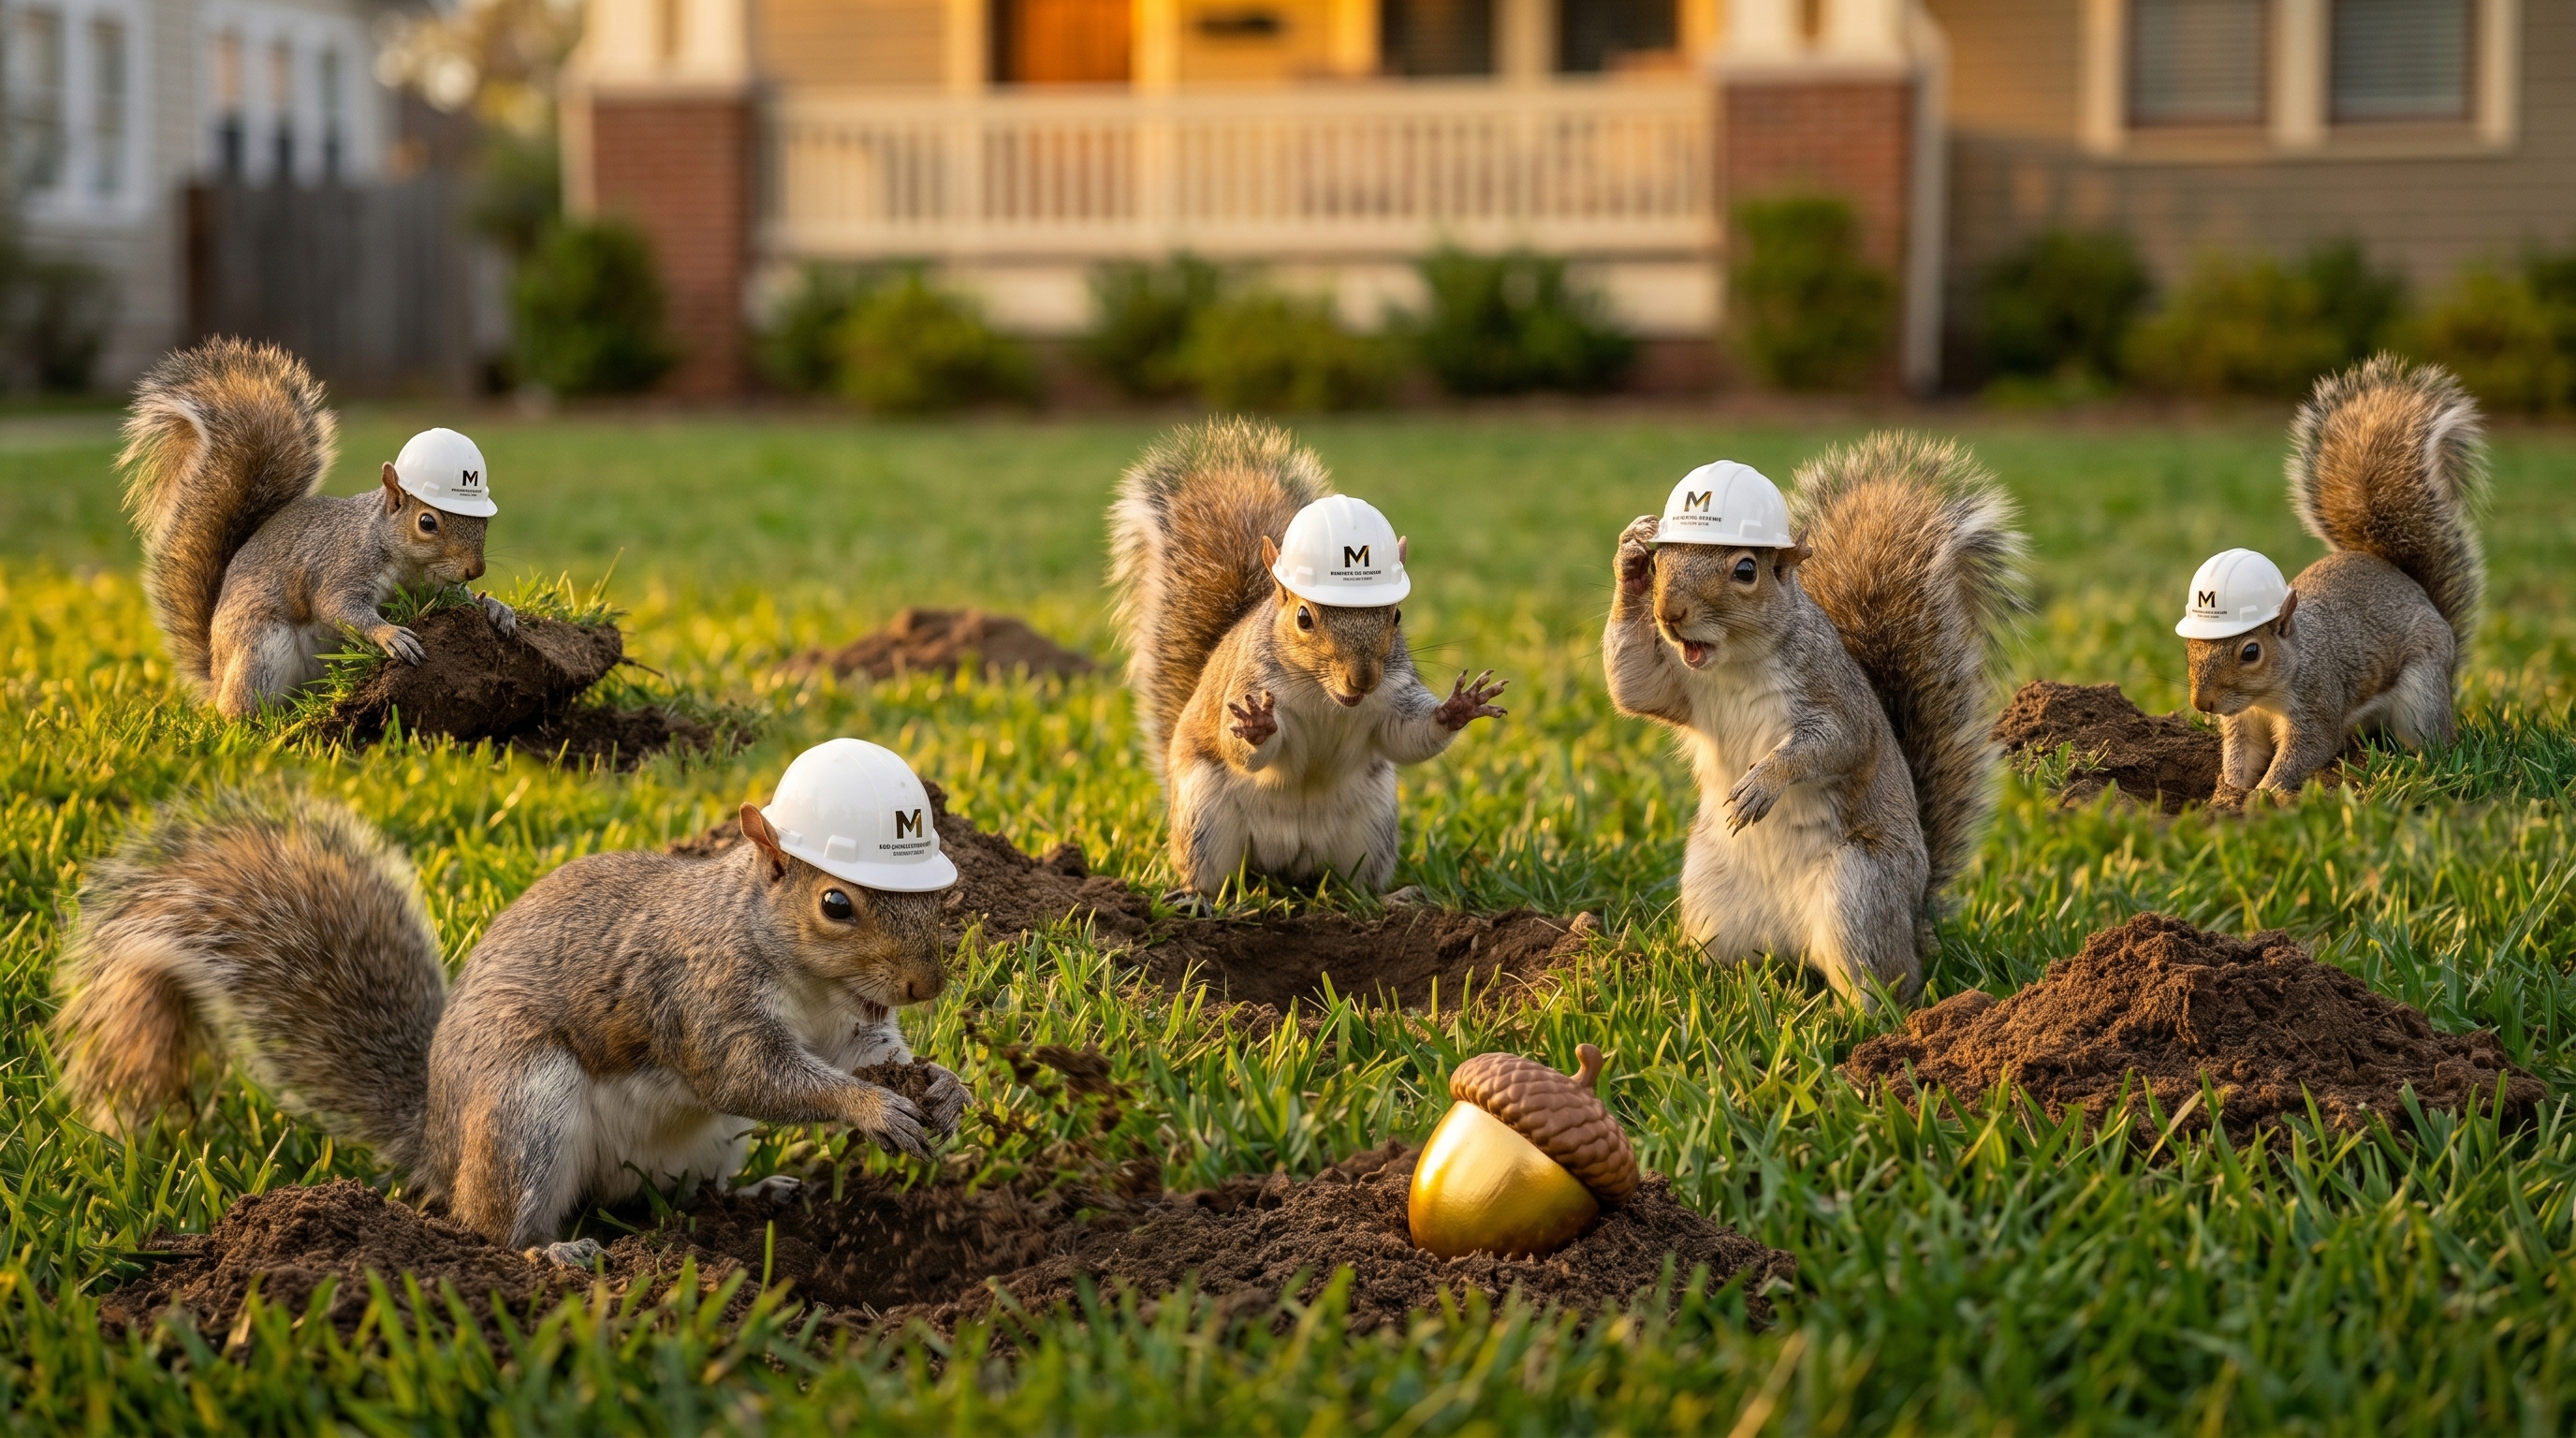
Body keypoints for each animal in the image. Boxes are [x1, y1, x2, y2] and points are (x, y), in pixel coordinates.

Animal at [53, 740, 971, 1262]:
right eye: (836, 904)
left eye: (942, 893)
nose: (927, 985)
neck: (812, 984)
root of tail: (439, 1141)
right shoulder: (701, 996)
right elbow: (753, 1076)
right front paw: (871, 1109)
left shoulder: (850, 1024)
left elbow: (870, 1056)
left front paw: (945, 1086)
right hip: (525, 1106)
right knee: (494, 1228)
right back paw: (546, 1258)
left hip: (704, 1145)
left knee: (675, 1196)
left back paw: (750, 1199)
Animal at [117, 337, 517, 718]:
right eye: (427, 522)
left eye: (486, 519)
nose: (476, 569)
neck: (405, 560)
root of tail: (216, 676)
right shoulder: (343, 567)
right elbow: (336, 606)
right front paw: (390, 635)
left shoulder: (431, 586)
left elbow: (455, 597)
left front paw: (495, 607)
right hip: (260, 648)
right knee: (242, 707)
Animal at [1107, 418, 1509, 899]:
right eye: (1303, 618)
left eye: (1396, 614)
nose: (1362, 679)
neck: (1325, 697)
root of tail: (1283, 866)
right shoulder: (1247, 684)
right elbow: (1242, 747)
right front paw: (1257, 727)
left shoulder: (1394, 696)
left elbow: (1408, 735)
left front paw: (1461, 706)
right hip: (1206, 819)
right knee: (1211, 875)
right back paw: (1197, 899)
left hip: (1371, 827)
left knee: (1357, 884)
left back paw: (1389, 897)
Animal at [1603, 438, 2026, 1003]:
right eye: (1659, 559)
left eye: (1745, 571)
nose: (1669, 613)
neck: (1736, 663)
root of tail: (1916, 923)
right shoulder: (1678, 685)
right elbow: (1633, 683)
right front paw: (1627, 554)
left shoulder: (1832, 694)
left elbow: (1836, 743)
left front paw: (1763, 782)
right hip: (1711, 895)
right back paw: (1703, 983)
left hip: (1860, 892)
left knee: (1881, 981)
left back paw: (1858, 1014)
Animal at [2178, 355, 2487, 801]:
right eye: (2189, 645)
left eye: (2251, 652)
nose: (2202, 704)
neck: (2269, 693)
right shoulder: (2243, 719)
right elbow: (2242, 754)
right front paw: (2227, 794)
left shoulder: (2316, 699)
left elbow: (2309, 748)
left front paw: (2263, 796)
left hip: (2423, 690)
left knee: (2433, 738)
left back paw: (2421, 763)